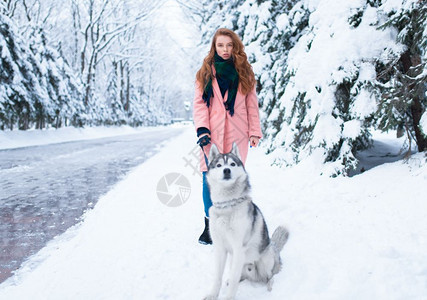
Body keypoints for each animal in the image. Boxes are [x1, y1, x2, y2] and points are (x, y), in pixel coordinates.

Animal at [203, 143, 288, 300]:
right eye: (219, 165)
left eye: (232, 164)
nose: (226, 170)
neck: (227, 205)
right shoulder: (220, 248)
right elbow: (218, 277)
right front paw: (212, 295)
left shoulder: (238, 248)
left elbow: (234, 278)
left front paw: (228, 298)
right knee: (240, 276)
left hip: (266, 258)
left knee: (270, 275)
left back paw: (270, 285)